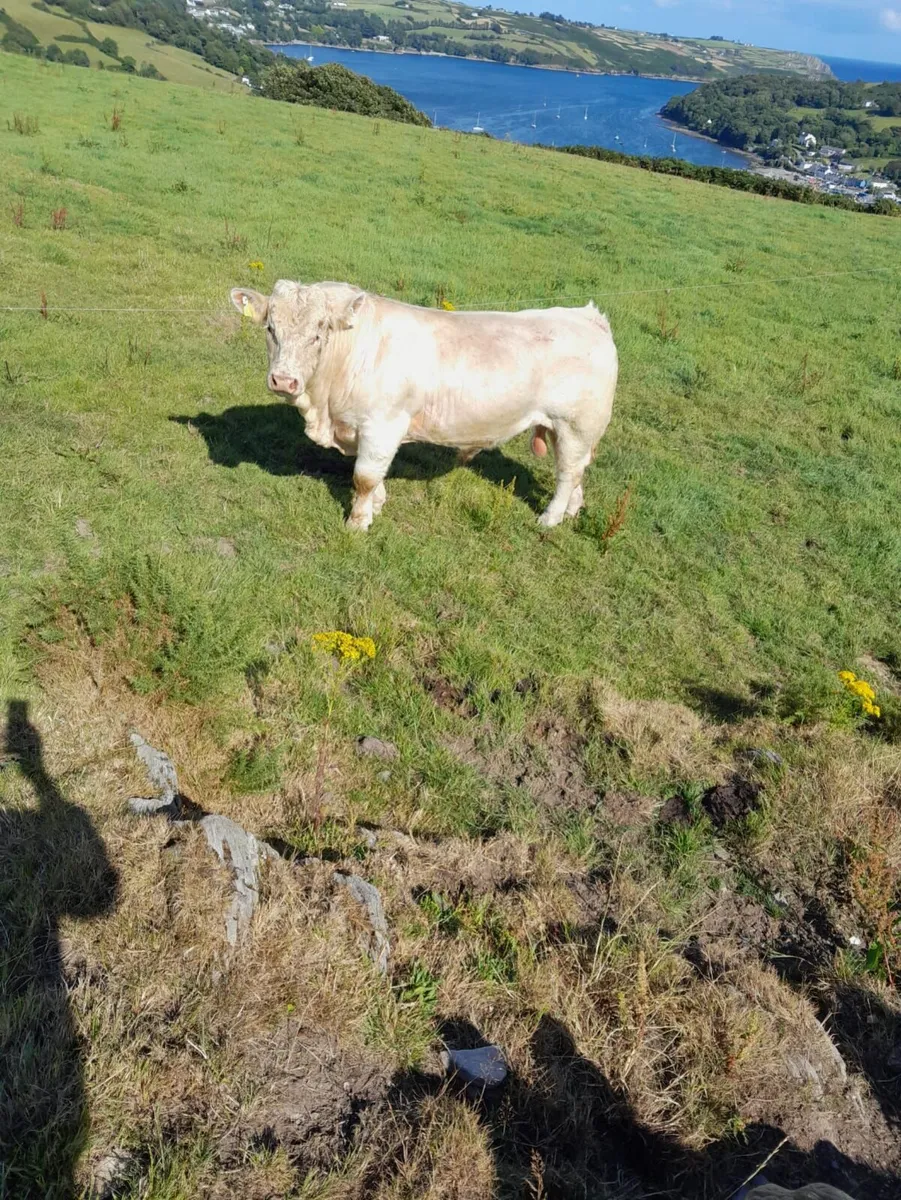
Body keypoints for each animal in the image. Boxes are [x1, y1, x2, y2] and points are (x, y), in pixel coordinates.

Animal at [229, 280, 618, 531]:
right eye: (270, 328)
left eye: (318, 333)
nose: (284, 380)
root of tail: (587, 316)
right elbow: (372, 474)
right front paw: (377, 505)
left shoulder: (383, 424)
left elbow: (364, 476)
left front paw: (357, 523)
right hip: (564, 430)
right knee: (576, 471)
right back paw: (571, 512)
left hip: (575, 425)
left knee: (568, 473)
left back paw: (550, 518)